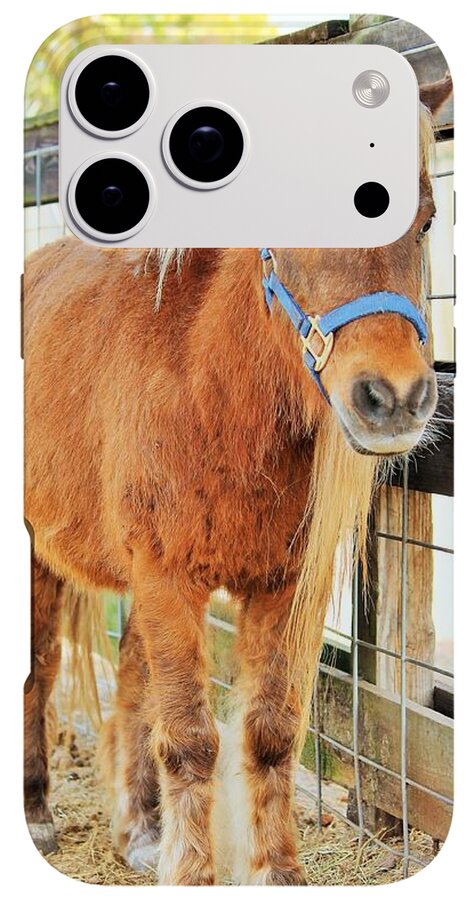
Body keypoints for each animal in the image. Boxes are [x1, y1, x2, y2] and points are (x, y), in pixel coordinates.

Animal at [24, 75, 452, 885]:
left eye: (427, 218)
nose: (394, 398)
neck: (210, 389)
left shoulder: (280, 587)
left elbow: (269, 734)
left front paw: (275, 873)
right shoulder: (166, 577)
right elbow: (191, 739)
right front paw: (194, 875)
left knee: (131, 682)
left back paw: (139, 829)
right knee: (39, 668)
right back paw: (36, 812)